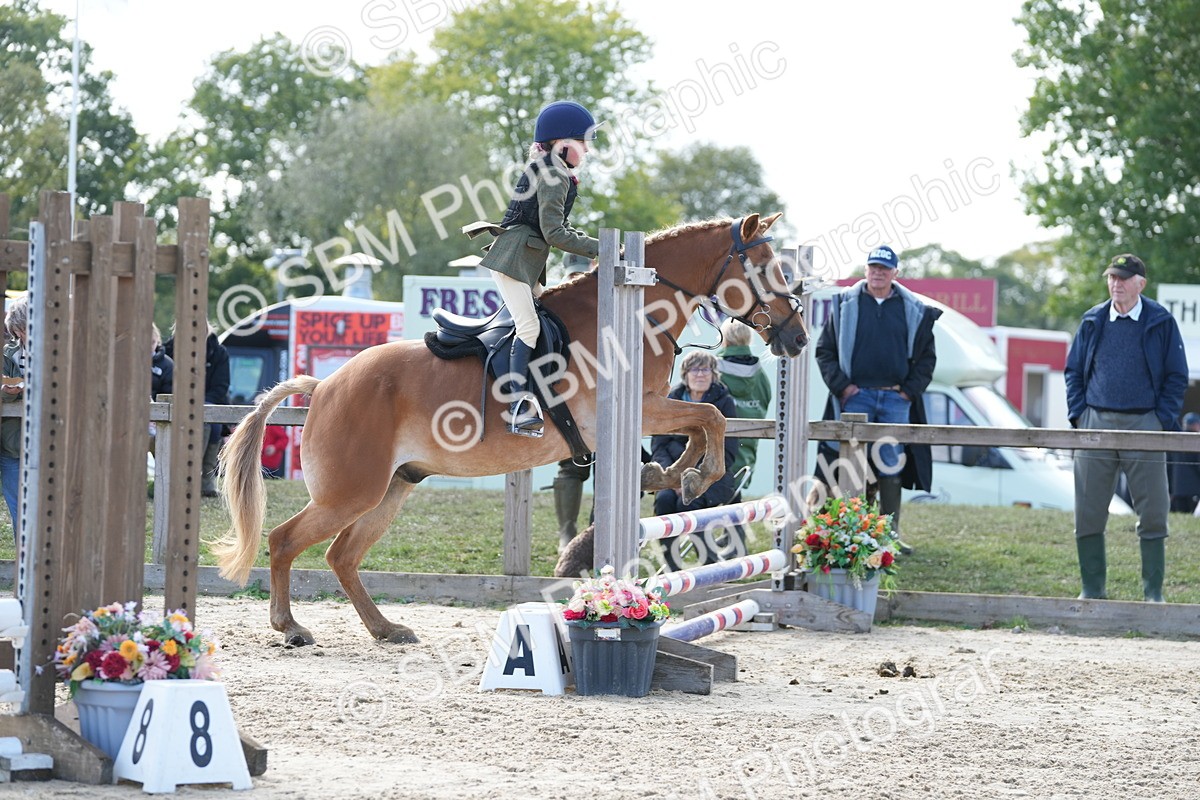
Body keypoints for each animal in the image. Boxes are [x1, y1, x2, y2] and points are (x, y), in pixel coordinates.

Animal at [214, 213, 807, 645]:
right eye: (765, 267)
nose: (798, 337)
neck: (633, 314)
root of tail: (325, 387)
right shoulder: (634, 410)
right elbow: (710, 418)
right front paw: (692, 476)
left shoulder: (647, 409)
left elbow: (703, 425)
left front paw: (671, 476)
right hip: (351, 490)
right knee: (285, 540)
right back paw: (290, 627)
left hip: (391, 488)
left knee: (342, 555)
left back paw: (386, 628)